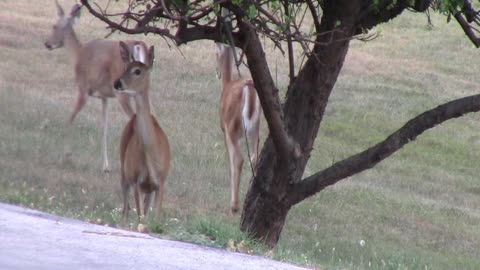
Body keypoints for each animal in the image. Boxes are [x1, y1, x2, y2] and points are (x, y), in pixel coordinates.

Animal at [45, 0, 150, 173]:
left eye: (54, 26)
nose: (47, 44)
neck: (77, 54)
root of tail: (138, 44)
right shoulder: (104, 96)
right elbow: (104, 128)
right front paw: (105, 166)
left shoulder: (83, 88)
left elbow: (70, 118)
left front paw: (65, 156)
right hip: (143, 91)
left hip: (123, 92)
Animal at [114, 40, 171, 221]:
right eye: (125, 67)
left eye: (137, 71)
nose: (117, 83)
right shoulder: (135, 180)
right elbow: (140, 217)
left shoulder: (161, 181)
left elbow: (156, 217)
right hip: (124, 168)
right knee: (125, 206)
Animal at [217, 42, 262, 215]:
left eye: (216, 54)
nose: (217, 73)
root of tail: (249, 88)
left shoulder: (224, 130)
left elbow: (230, 161)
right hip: (256, 127)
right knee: (255, 156)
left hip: (233, 127)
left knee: (239, 159)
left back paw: (234, 205)